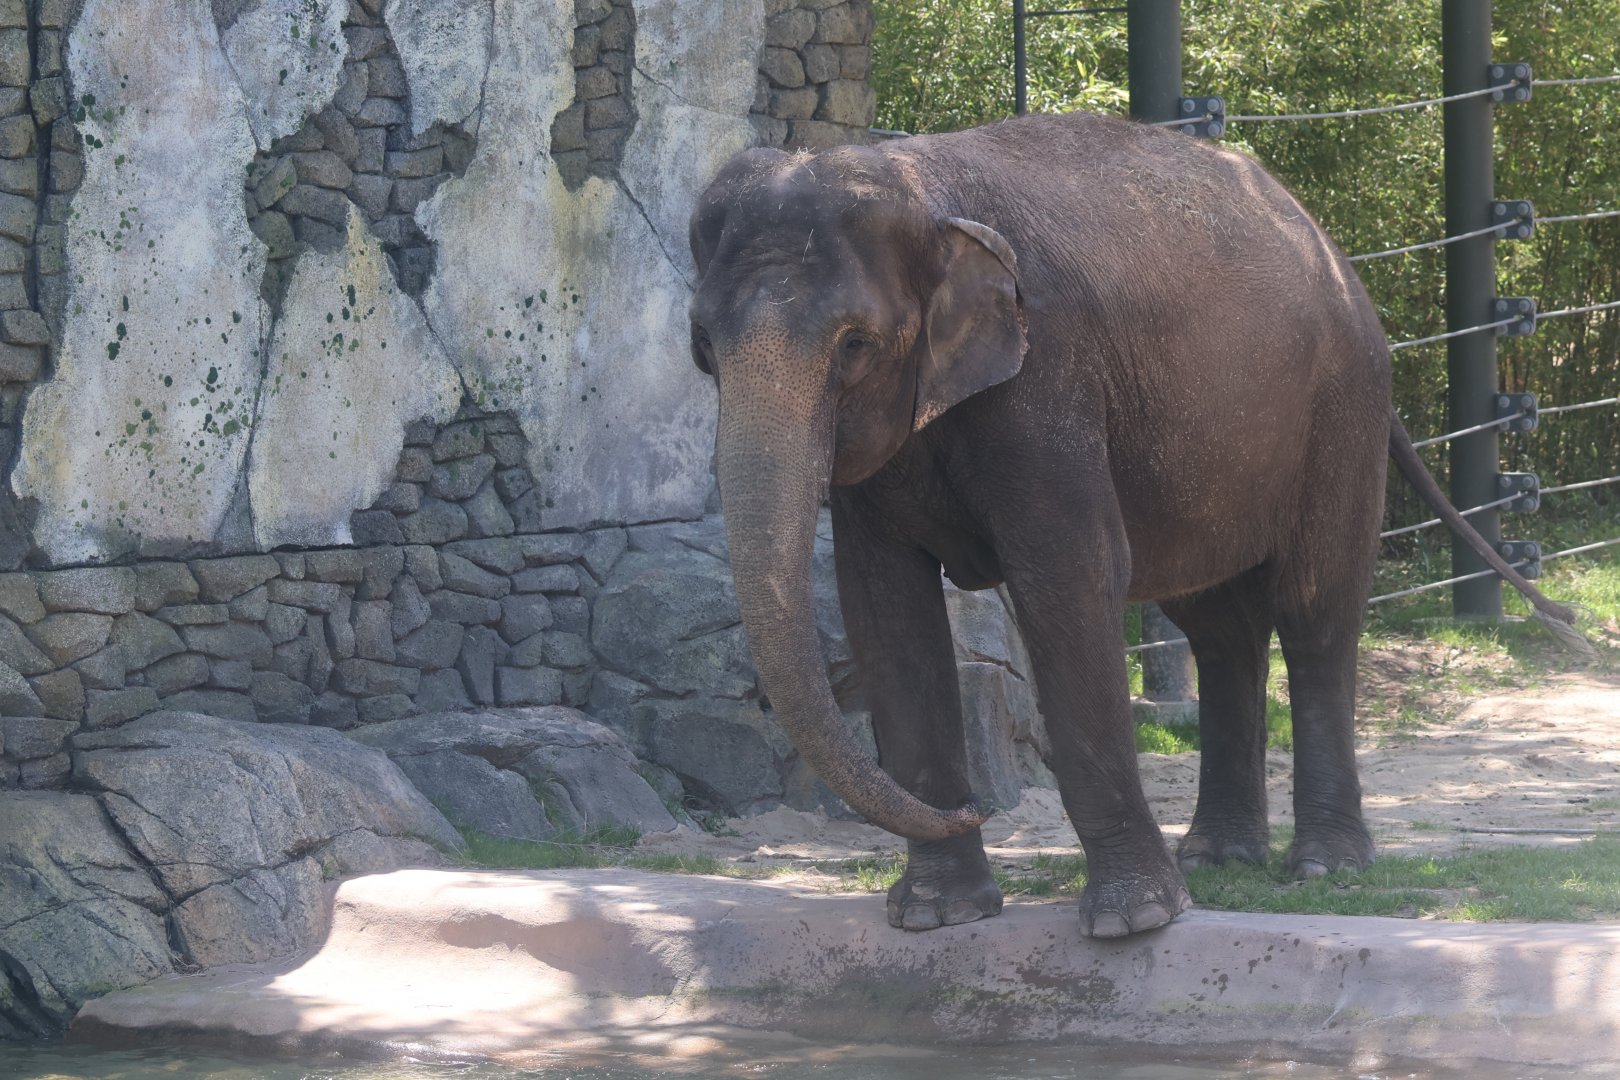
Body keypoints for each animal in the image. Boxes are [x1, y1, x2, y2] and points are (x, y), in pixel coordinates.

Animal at [686, 111, 1576, 938]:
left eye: (855, 344)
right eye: (701, 348)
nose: (977, 809)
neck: (917, 181)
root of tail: (1328, 245)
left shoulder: (1049, 375)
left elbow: (1069, 579)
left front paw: (1134, 922)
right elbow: (886, 612)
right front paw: (940, 916)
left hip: (1342, 407)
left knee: (1315, 612)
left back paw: (1323, 867)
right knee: (1219, 628)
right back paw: (1219, 857)